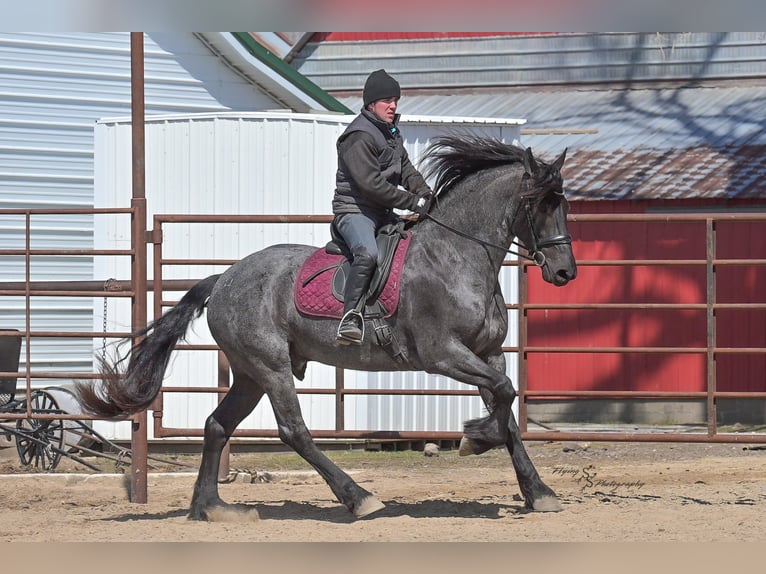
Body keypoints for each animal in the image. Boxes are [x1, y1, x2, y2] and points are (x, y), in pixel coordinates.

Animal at [76, 134, 577, 520]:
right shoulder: (443, 354)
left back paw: (210, 508)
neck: (457, 257)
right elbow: (505, 396)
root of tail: (225, 279)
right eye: (538, 204)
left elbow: (508, 408)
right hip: (271, 366)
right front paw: (475, 438)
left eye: (564, 204)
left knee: (217, 425)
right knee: (292, 430)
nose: (565, 273)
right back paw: (359, 499)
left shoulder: (487, 353)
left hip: (250, 373)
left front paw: (538, 492)